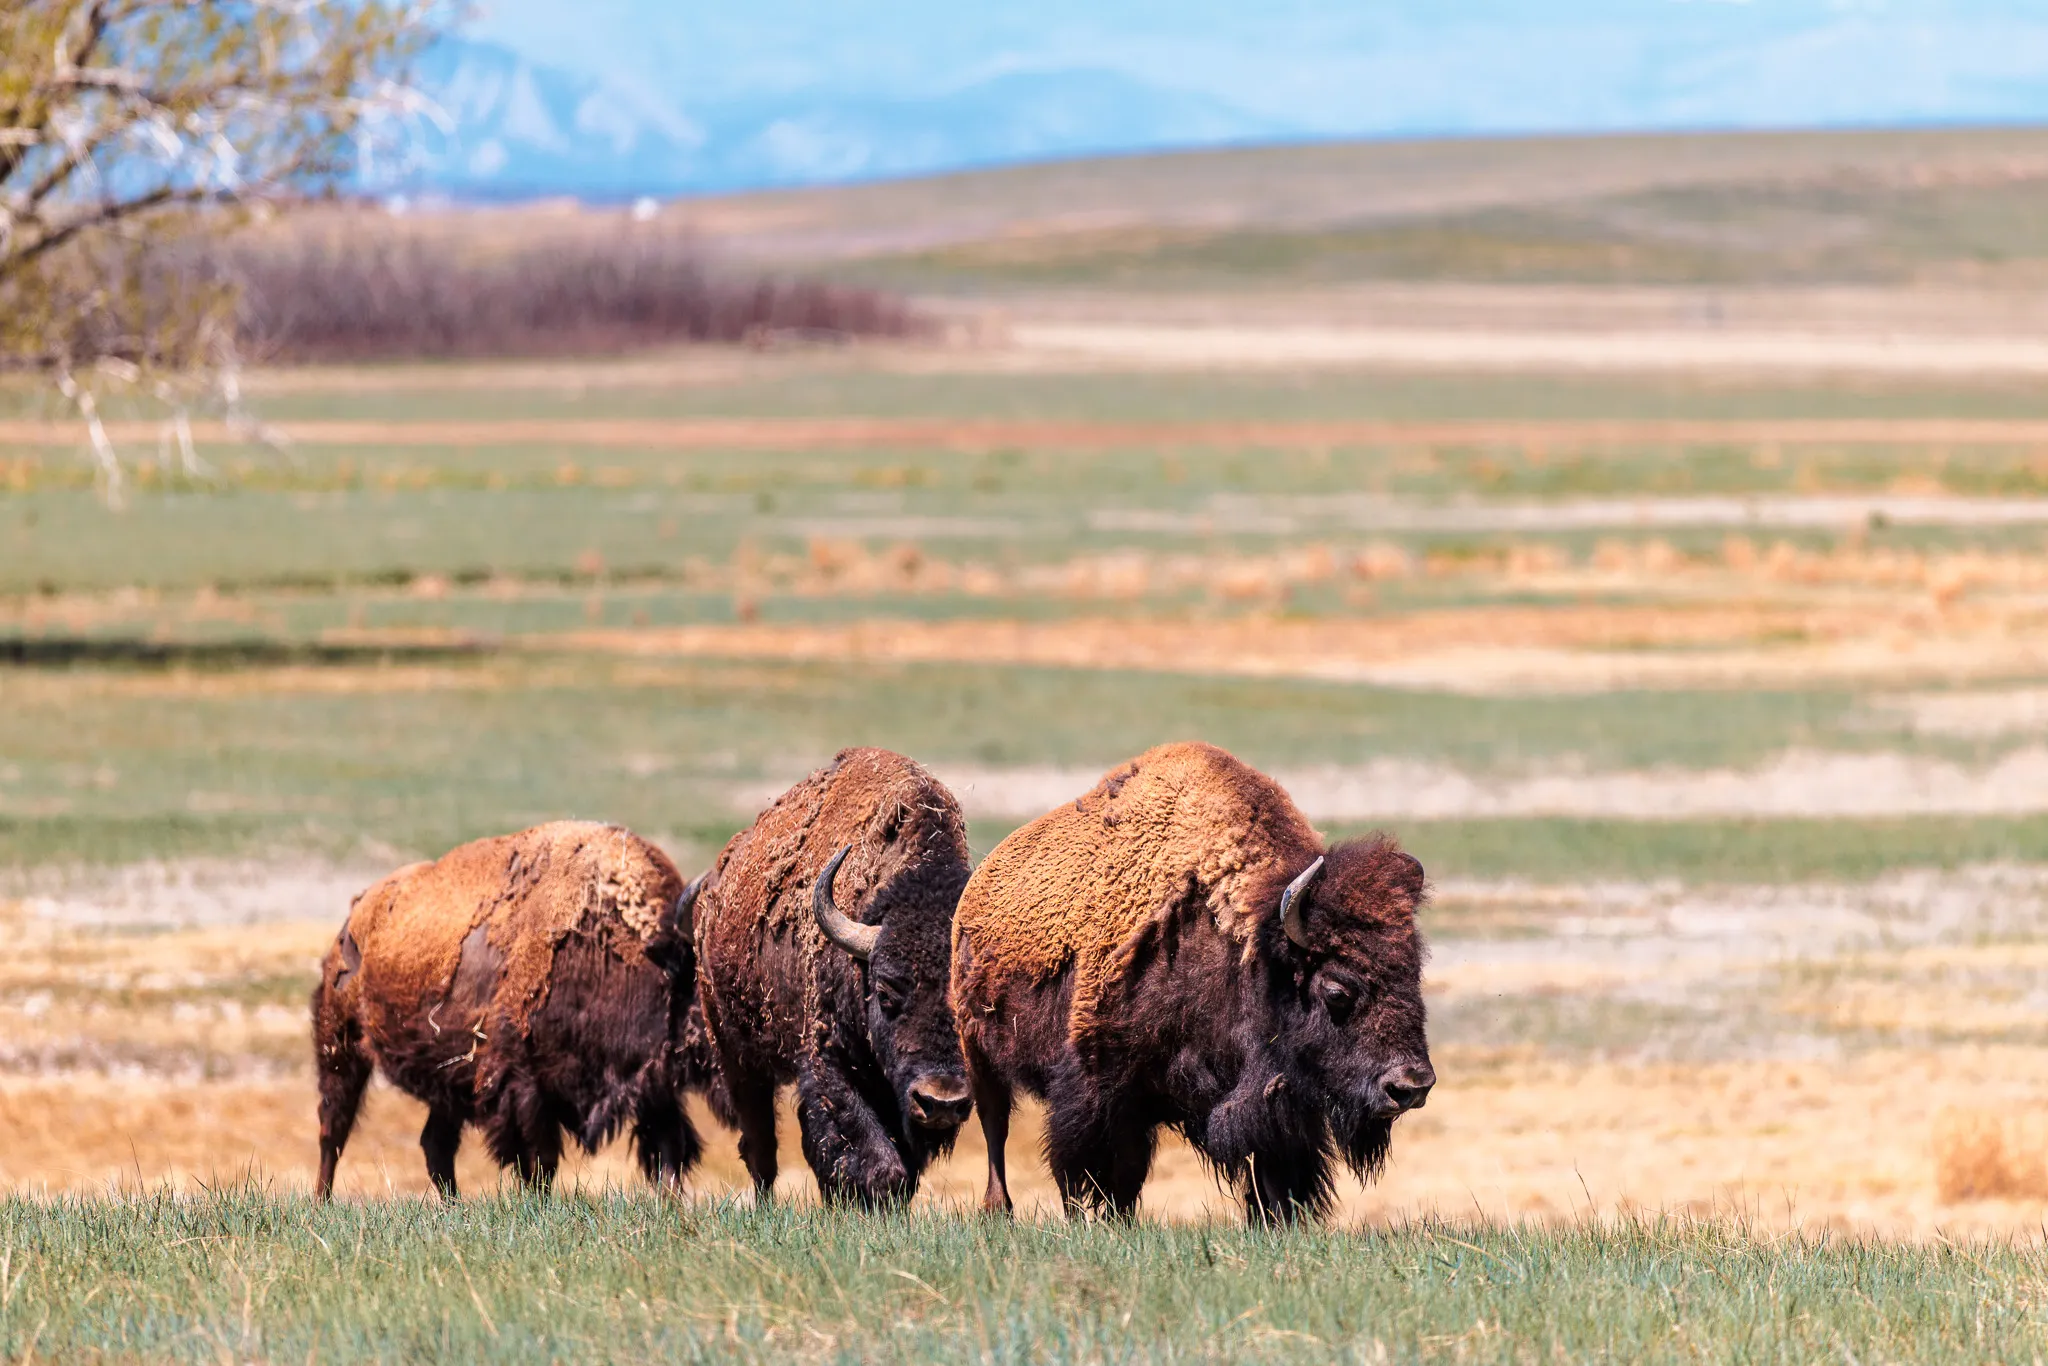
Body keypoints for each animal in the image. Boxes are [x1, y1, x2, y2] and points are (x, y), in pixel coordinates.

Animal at [311, 821, 719, 1199]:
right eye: (704, 983)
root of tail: (354, 916)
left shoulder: (653, 1085)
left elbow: (669, 1152)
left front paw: (672, 1206)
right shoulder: (523, 1086)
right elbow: (539, 1161)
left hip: (449, 1079)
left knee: (435, 1144)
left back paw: (454, 1207)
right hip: (339, 1045)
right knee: (334, 1128)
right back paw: (322, 1201)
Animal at [694, 747, 972, 1205]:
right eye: (886, 992)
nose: (943, 1100)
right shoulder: (829, 1064)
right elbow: (871, 1158)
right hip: (736, 1053)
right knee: (760, 1145)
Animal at [952, 741, 1435, 1223]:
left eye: (1413, 974)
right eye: (1336, 990)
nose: (1411, 1086)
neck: (1250, 955)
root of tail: (977, 884)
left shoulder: (1271, 1104)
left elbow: (1269, 1174)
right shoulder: (1096, 1084)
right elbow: (1087, 1167)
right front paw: (1089, 1222)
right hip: (976, 1048)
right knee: (995, 1124)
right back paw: (997, 1208)